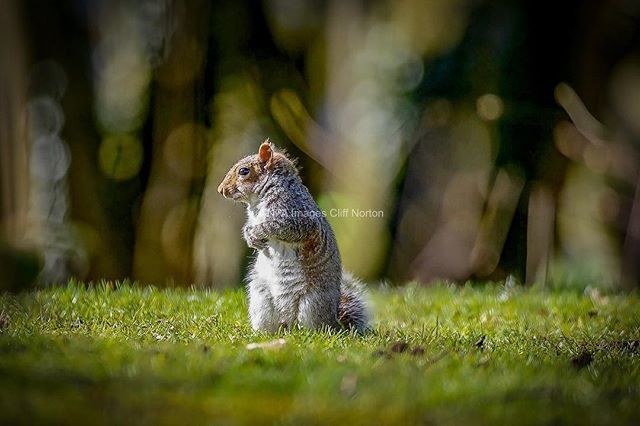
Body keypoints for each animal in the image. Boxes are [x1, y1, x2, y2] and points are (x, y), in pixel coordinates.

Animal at [217, 140, 369, 333]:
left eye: (244, 171)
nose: (221, 190)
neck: (257, 202)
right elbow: (249, 227)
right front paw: (250, 237)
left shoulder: (296, 216)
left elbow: (277, 227)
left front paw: (257, 232)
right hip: (260, 297)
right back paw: (262, 334)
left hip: (312, 304)